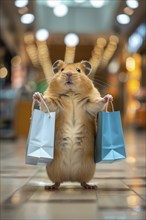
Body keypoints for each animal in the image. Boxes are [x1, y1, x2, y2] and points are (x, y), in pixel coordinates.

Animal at [33, 59, 113, 189]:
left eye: (78, 70)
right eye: (62, 70)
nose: (69, 74)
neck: (71, 93)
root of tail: (70, 179)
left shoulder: (90, 103)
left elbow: (98, 103)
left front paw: (108, 97)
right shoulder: (54, 104)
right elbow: (47, 102)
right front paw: (37, 95)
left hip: (88, 169)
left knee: (82, 181)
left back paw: (90, 186)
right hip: (53, 169)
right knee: (58, 182)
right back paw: (50, 187)